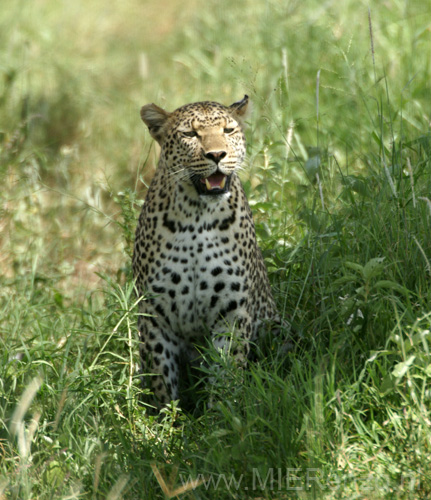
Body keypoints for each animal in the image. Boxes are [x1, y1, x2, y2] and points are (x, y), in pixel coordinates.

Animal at [133, 95, 282, 408]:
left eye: (228, 130)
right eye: (190, 134)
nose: (217, 155)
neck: (197, 218)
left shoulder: (232, 311)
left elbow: (227, 371)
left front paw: (221, 414)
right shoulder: (154, 316)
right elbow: (162, 381)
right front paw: (167, 419)